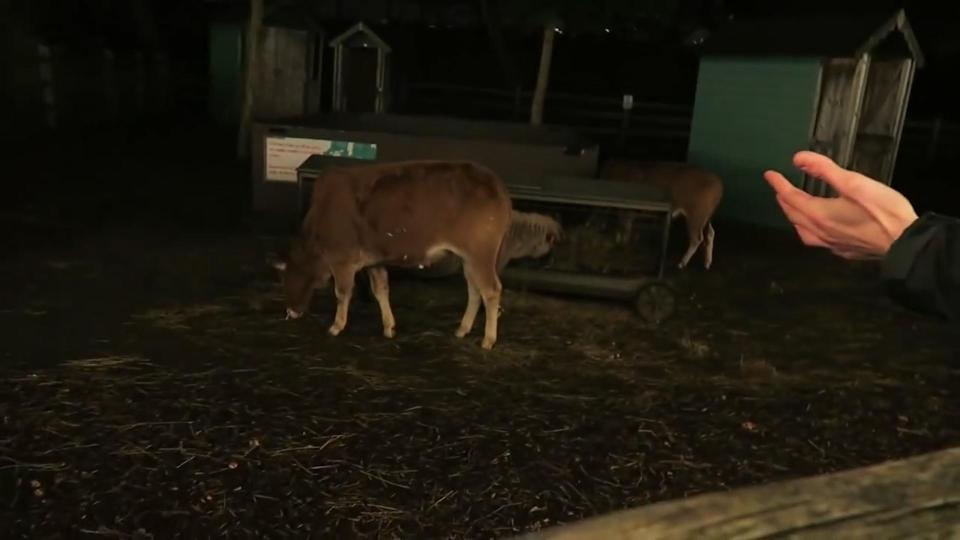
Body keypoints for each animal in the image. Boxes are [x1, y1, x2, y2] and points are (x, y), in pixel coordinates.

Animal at [274, 159, 512, 350]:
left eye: (285, 281)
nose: (290, 312)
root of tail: (495, 183)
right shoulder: (373, 261)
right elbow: (381, 290)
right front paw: (389, 326)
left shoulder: (342, 261)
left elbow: (342, 293)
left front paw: (336, 326)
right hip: (468, 259)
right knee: (474, 290)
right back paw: (463, 329)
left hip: (480, 255)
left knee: (491, 291)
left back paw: (488, 339)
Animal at [596, 159, 724, 270]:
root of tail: (718, 183)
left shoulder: (627, 212)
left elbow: (625, 229)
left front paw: (623, 246)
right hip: (706, 217)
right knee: (710, 233)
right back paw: (707, 262)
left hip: (696, 216)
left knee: (697, 239)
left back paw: (682, 263)